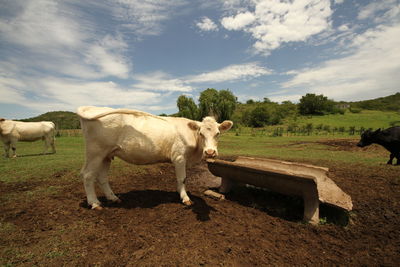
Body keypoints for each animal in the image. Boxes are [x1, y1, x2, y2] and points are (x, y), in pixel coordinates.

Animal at [77, 106, 234, 209]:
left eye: (218, 133)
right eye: (201, 133)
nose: (210, 152)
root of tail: (93, 107)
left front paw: (179, 192)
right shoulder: (179, 157)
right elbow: (182, 178)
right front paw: (185, 198)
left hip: (107, 155)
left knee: (102, 177)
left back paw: (113, 198)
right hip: (95, 152)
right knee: (88, 175)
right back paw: (94, 203)